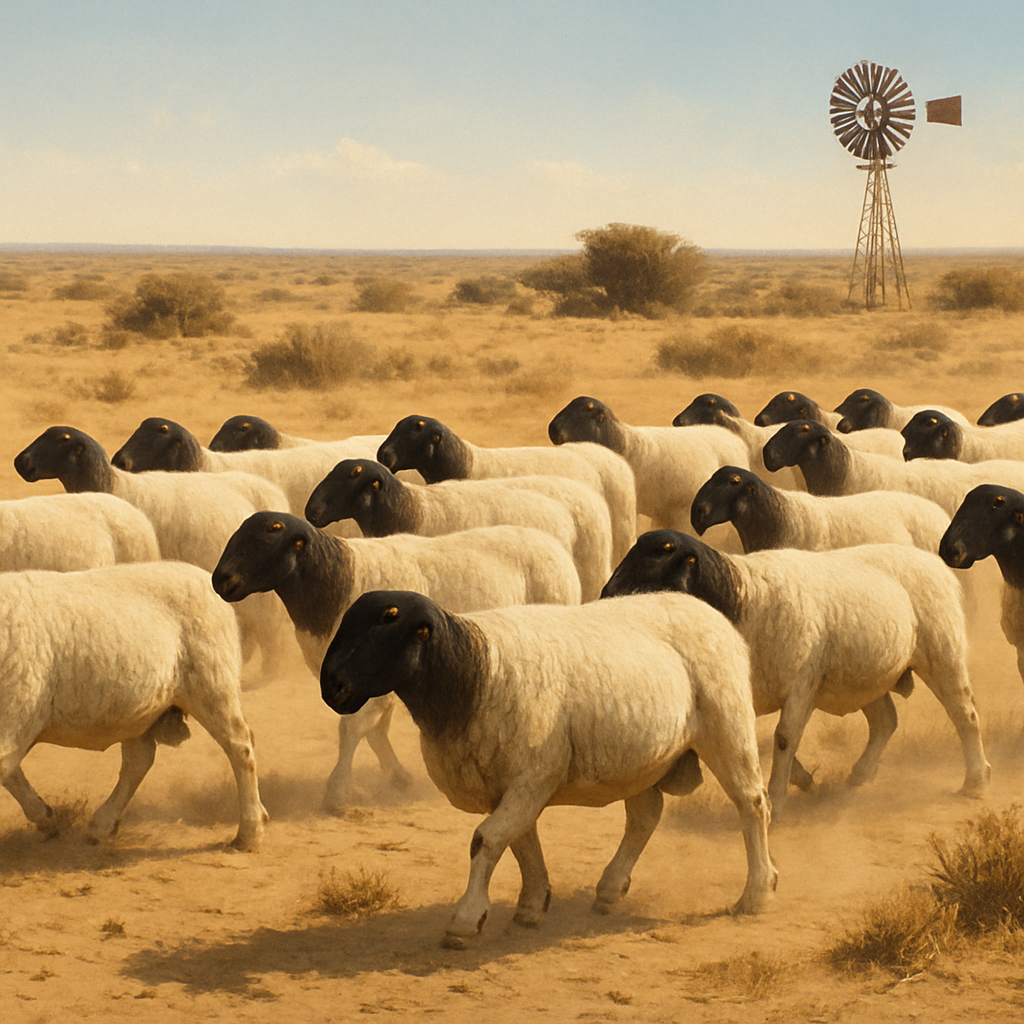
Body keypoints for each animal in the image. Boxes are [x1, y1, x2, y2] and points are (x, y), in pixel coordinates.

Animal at [0, 560, 267, 851]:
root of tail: (205, 577)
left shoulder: (13, 721)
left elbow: (8, 772)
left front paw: (46, 818)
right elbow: (12, 775)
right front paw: (46, 818)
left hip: (213, 683)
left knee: (239, 746)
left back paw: (249, 831)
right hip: (141, 708)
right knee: (138, 761)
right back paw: (102, 824)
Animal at [213, 512, 582, 811]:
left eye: (273, 530)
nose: (221, 580)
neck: (337, 581)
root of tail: (551, 543)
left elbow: (355, 728)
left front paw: (337, 792)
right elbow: (374, 730)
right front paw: (398, 776)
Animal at [319, 588, 777, 946]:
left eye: (388, 618)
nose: (331, 686)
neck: (474, 670)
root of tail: (710, 613)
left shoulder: (532, 775)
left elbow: (486, 841)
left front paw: (466, 920)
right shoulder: (509, 783)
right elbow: (519, 841)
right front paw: (532, 904)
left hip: (727, 725)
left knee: (752, 804)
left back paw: (757, 893)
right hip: (642, 756)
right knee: (646, 816)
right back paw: (610, 889)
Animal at [601, 531, 991, 818]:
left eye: (663, 550)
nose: (607, 592)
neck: (743, 597)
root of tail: (934, 563)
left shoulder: (802, 682)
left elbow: (784, 738)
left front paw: (777, 797)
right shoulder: (761, 692)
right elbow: (778, 740)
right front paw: (802, 780)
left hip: (942, 651)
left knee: (965, 714)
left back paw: (976, 780)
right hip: (861, 675)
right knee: (886, 720)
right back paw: (860, 774)